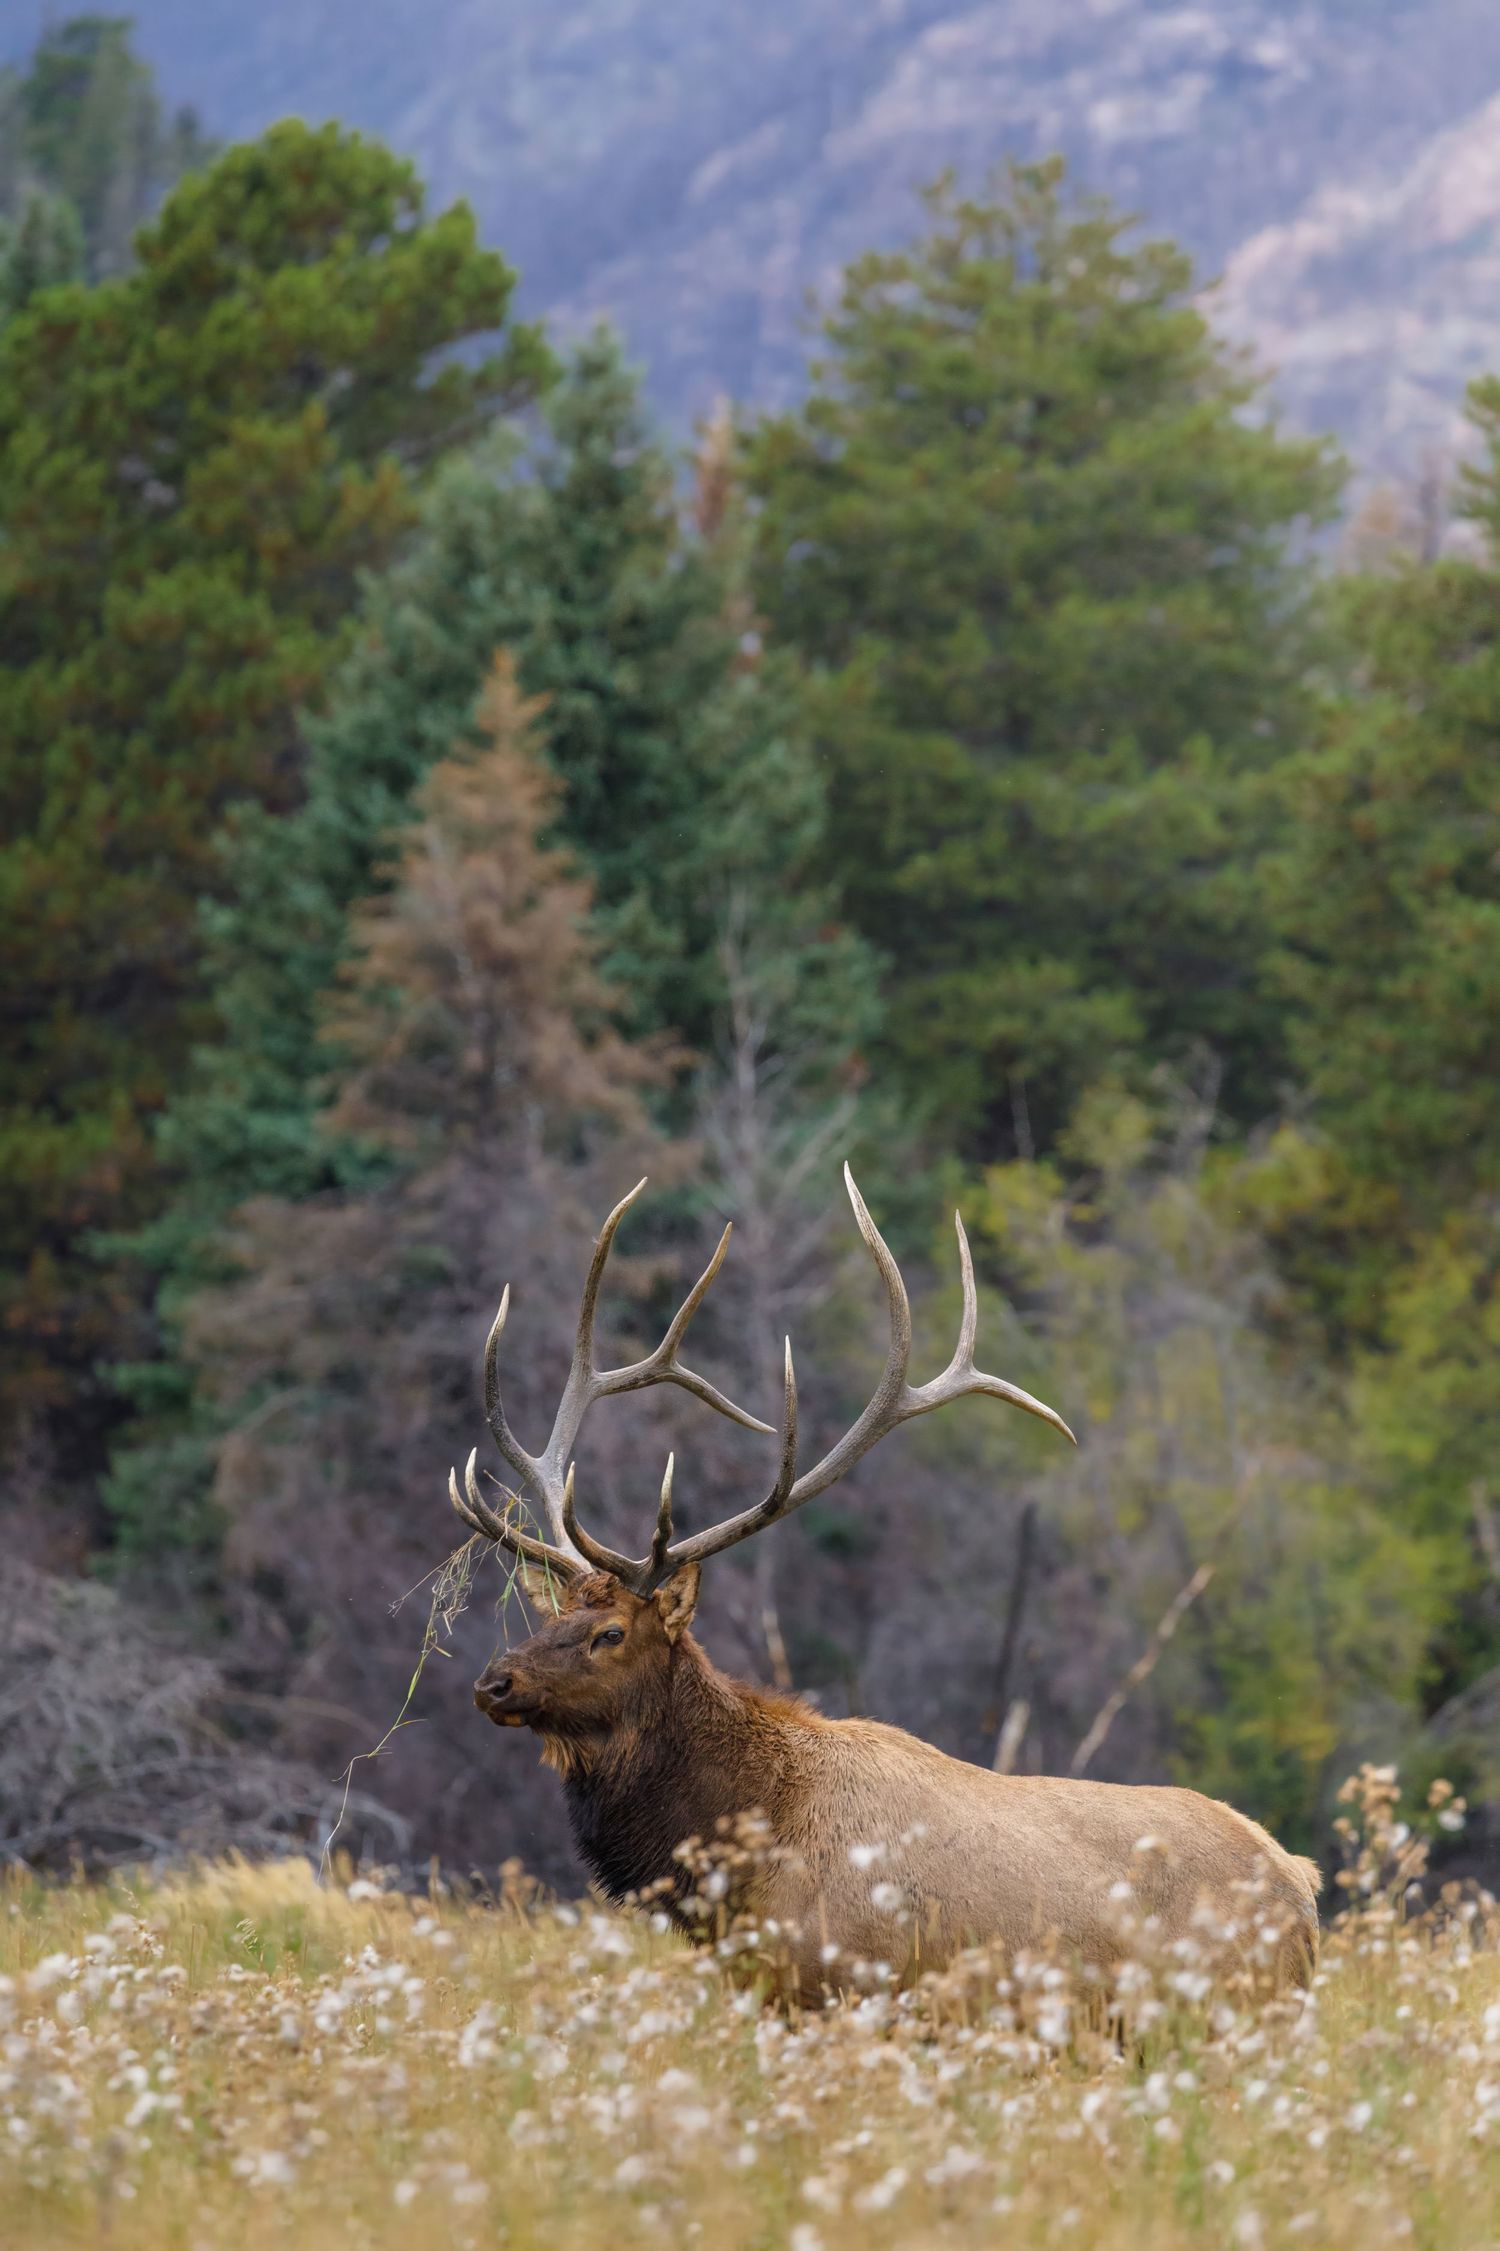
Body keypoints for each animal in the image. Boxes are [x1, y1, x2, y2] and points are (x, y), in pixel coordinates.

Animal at [451, 1169, 1321, 1999]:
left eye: (610, 1633)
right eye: (552, 1615)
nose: (495, 1682)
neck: (742, 1855)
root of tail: (1301, 1882)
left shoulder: (845, 1985)